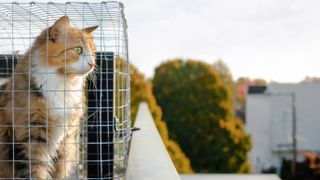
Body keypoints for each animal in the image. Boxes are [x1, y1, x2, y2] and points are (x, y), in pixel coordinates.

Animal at [0, 16, 97, 179]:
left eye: (93, 52)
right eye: (78, 50)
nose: (92, 64)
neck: (63, 85)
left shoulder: (63, 144)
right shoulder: (30, 138)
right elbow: (35, 171)